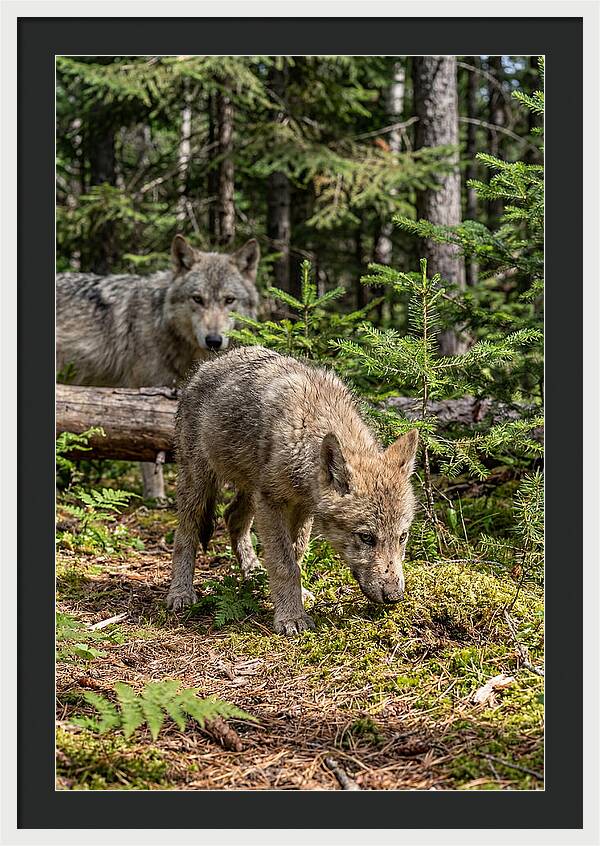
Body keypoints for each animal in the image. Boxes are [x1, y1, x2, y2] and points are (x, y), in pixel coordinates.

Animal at [56, 235, 260, 498]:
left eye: (229, 300)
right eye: (197, 299)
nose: (214, 340)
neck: (161, 323)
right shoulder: (144, 397)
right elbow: (148, 453)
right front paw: (156, 498)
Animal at [168, 346, 419, 635]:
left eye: (402, 537)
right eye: (366, 537)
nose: (394, 596)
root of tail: (206, 365)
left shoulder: (302, 508)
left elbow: (296, 556)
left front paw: (295, 597)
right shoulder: (272, 503)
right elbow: (284, 563)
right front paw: (291, 617)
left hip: (251, 491)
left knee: (232, 516)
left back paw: (253, 573)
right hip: (200, 484)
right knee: (185, 534)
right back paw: (180, 592)